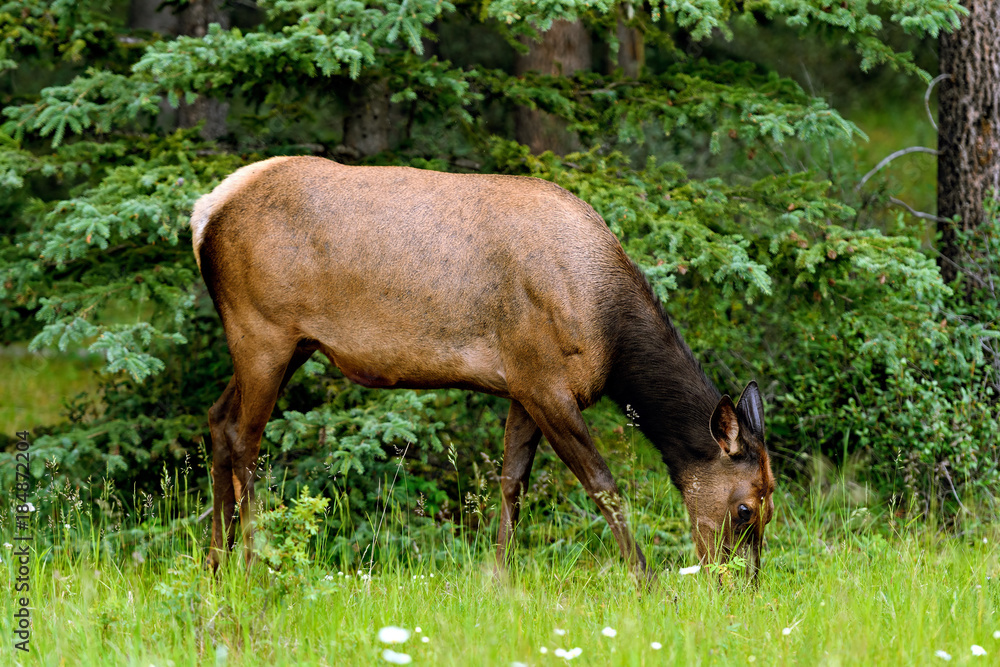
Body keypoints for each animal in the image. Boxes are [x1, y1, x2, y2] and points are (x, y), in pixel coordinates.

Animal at [190, 156, 775, 583]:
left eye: (772, 508)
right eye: (746, 509)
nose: (742, 582)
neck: (610, 335)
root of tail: (205, 213)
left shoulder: (523, 385)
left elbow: (511, 482)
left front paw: (498, 580)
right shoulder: (545, 382)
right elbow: (603, 484)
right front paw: (647, 581)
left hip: (293, 343)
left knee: (218, 419)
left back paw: (215, 565)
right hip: (262, 329)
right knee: (246, 439)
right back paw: (253, 566)